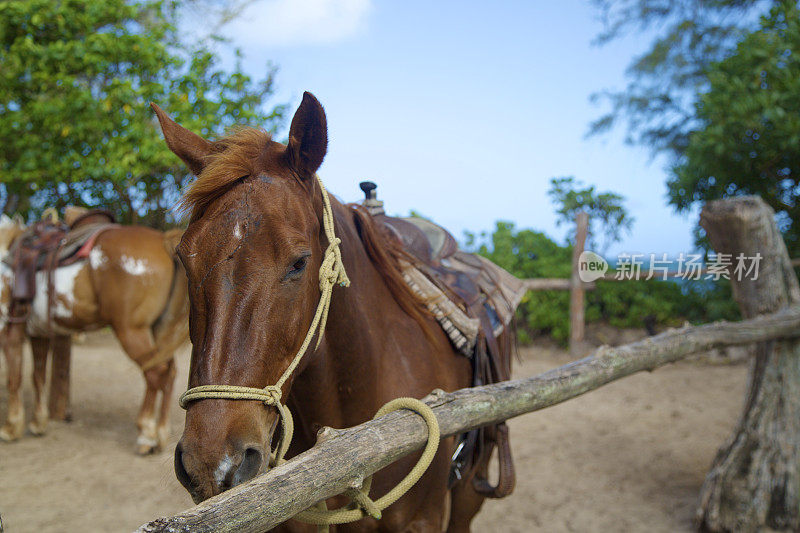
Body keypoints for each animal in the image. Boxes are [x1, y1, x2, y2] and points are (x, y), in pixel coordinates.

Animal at [0, 214, 190, 450]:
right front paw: (37, 422)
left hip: (132, 332)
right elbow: (37, 376)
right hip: (159, 332)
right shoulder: (38, 334)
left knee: (154, 373)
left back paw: (146, 433)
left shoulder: (9, 332)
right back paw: (162, 432)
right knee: (169, 373)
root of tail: (164, 242)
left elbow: (14, 378)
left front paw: (11, 427)